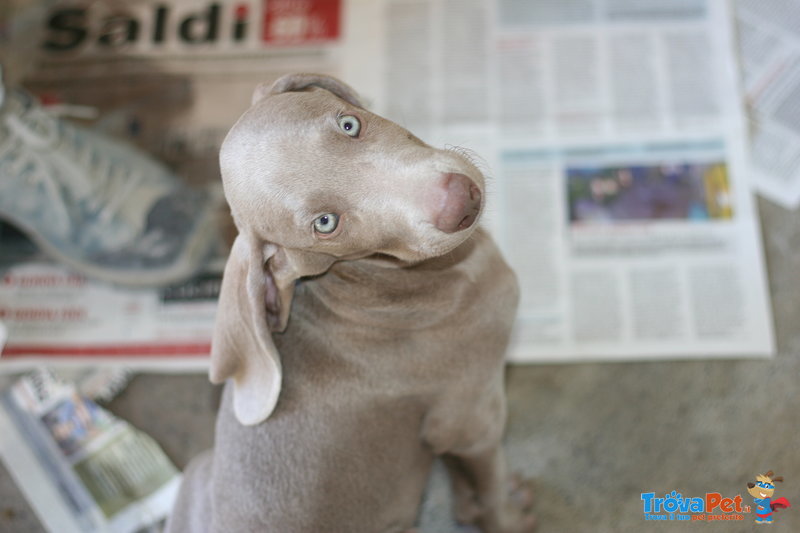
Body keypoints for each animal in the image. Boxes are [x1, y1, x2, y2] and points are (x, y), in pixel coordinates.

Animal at [168, 71, 532, 532]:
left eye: (349, 124)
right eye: (326, 223)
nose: (458, 200)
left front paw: (468, 503)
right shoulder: (470, 415)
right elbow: (490, 479)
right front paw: (505, 513)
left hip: (197, 471)